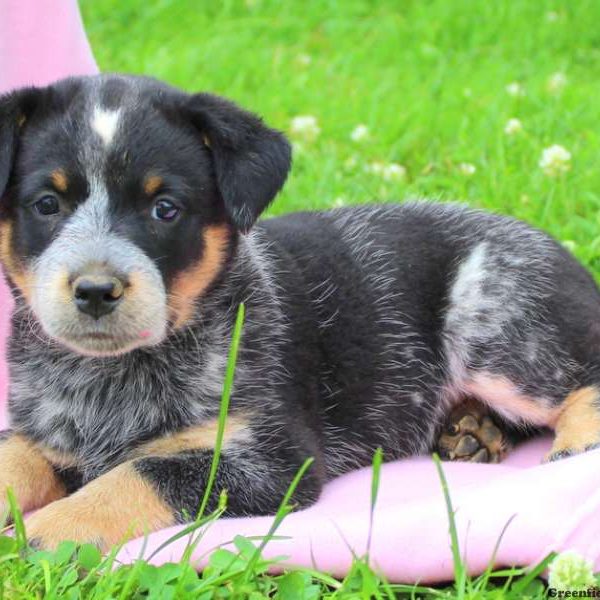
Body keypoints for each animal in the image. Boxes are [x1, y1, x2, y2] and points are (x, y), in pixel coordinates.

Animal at [1, 74, 600, 548]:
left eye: (164, 209)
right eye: (46, 204)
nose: (95, 289)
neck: (106, 380)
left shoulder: (268, 459)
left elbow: (137, 475)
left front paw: (42, 533)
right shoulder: (45, 433)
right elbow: (14, 456)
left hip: (496, 324)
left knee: (578, 374)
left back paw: (573, 444)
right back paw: (472, 432)